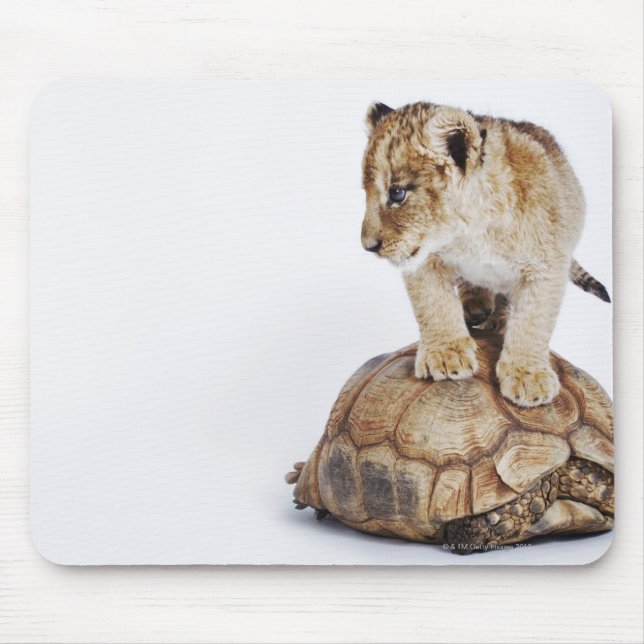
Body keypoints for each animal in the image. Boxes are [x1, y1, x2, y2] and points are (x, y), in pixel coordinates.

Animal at [360, 101, 610, 407]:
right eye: (366, 192)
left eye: (397, 194)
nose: (368, 245)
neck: (471, 233)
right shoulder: (423, 261)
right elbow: (433, 304)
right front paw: (446, 355)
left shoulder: (546, 267)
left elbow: (533, 321)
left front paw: (528, 376)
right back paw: (475, 305)